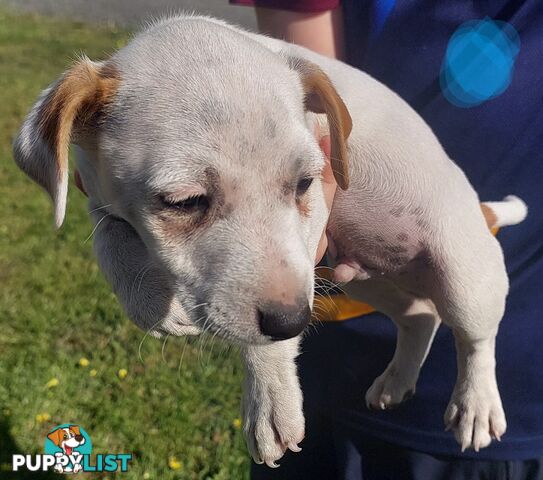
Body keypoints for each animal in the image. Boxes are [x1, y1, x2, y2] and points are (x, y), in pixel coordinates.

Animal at [12, 15, 528, 468]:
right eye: (185, 201)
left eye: (304, 184)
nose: (295, 320)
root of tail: (478, 209)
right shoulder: (98, 198)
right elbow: (110, 240)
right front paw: (150, 300)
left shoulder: (312, 221)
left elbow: (265, 337)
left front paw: (269, 399)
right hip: (361, 278)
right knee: (420, 316)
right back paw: (396, 381)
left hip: (461, 275)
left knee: (475, 338)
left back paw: (477, 405)